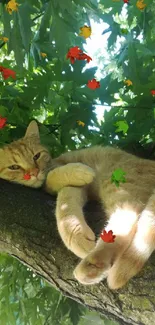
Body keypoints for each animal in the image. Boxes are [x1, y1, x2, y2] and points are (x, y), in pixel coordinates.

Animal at [0, 121, 155, 288]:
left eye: (36, 156)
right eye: (14, 167)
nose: (34, 173)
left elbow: (53, 178)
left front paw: (80, 171)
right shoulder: (75, 189)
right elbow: (65, 207)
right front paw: (76, 234)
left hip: (117, 183)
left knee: (127, 219)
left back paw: (93, 264)